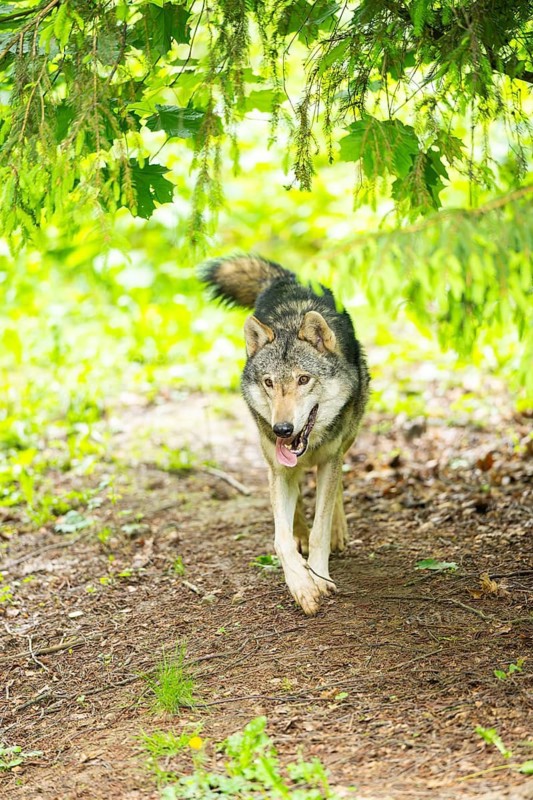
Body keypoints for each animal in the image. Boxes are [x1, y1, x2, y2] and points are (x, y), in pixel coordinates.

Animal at [200, 255, 370, 614]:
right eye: (269, 382)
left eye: (304, 379)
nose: (283, 429)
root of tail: (287, 279)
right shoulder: (277, 467)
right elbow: (280, 539)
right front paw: (302, 585)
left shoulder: (330, 458)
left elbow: (321, 527)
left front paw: (320, 576)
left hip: (347, 438)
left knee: (335, 490)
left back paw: (338, 528)